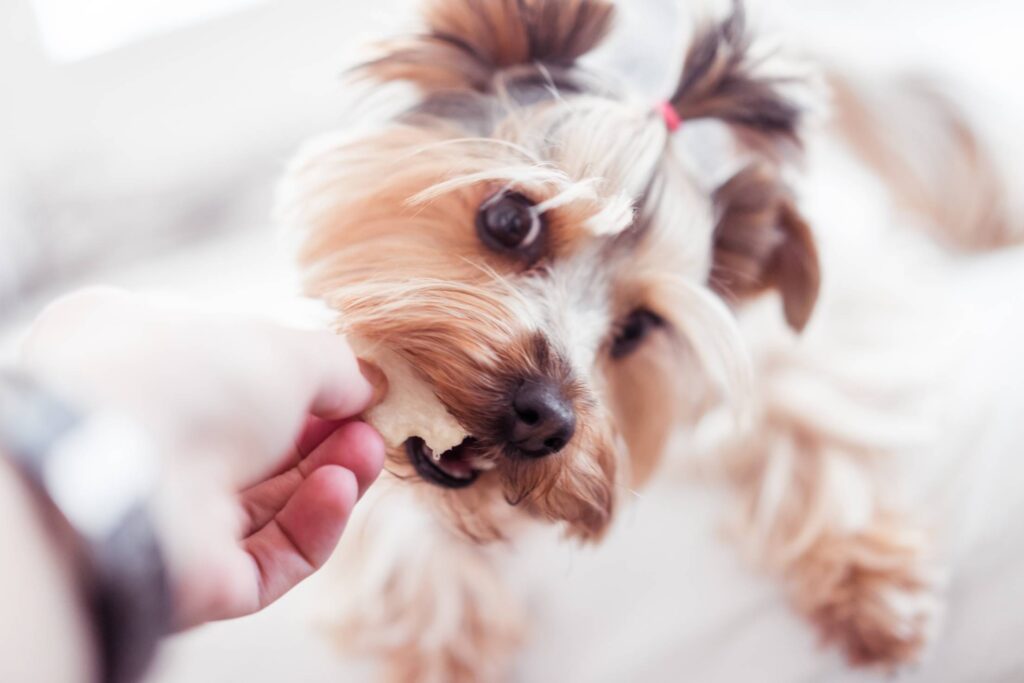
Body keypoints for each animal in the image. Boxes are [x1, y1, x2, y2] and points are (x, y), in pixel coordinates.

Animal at [278, 1, 1024, 679]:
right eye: (511, 219)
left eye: (640, 327)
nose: (545, 417)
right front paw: (439, 620)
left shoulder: (800, 326)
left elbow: (821, 403)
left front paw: (868, 580)